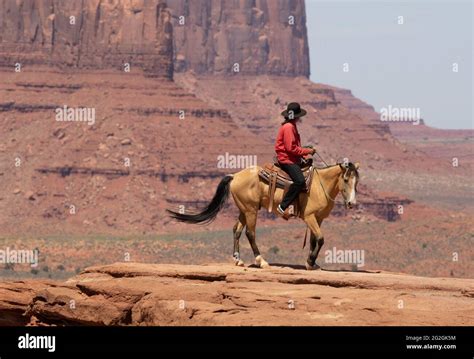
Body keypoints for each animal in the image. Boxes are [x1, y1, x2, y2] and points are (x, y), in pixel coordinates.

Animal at [167, 160, 360, 270]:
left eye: (357, 181)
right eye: (345, 179)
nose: (352, 203)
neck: (320, 185)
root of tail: (235, 175)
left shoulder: (318, 219)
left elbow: (315, 240)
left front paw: (312, 263)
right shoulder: (309, 217)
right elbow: (320, 239)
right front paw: (310, 262)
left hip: (244, 210)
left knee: (236, 230)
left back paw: (238, 260)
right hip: (251, 210)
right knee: (250, 233)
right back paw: (261, 261)